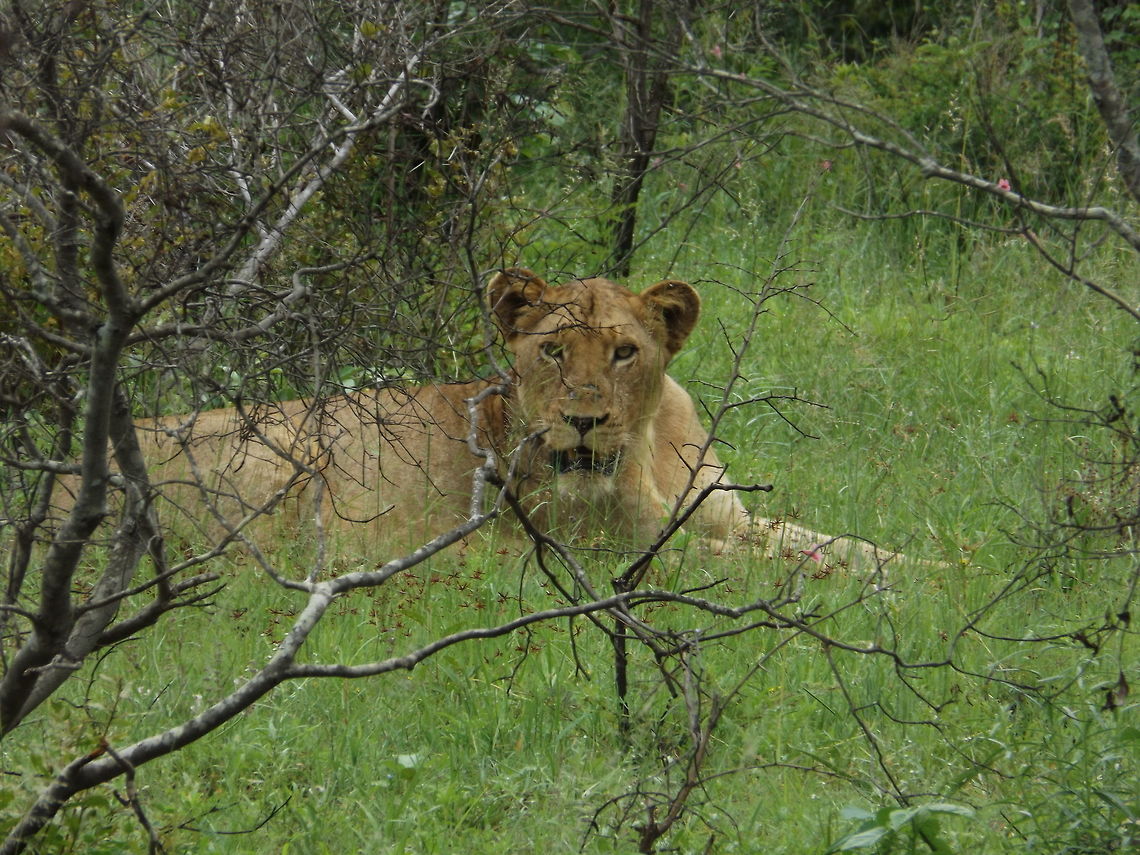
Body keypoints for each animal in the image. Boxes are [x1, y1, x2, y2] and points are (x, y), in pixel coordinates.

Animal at [138, 268, 852, 561]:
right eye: (553, 350)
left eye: (624, 352)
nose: (583, 422)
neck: (648, 452)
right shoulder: (611, 548)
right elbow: (748, 565)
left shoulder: (729, 513)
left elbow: (835, 543)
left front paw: (876, 571)